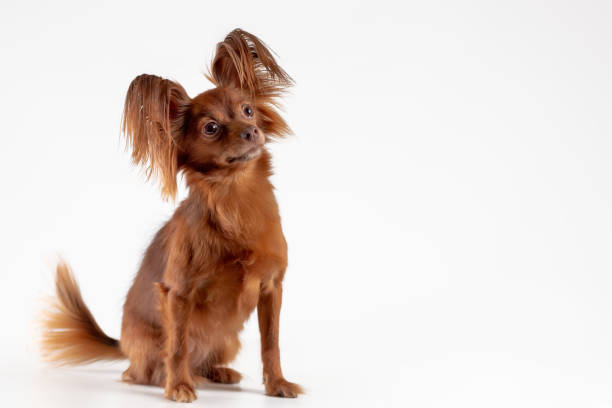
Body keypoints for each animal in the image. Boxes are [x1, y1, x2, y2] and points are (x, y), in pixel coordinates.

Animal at [39, 27, 302, 402]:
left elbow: (272, 343)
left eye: (248, 110)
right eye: (211, 128)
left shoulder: (271, 289)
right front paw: (178, 386)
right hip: (149, 343)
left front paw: (278, 383)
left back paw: (218, 372)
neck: (236, 199)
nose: (252, 131)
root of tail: (123, 345)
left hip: (228, 340)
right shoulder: (179, 294)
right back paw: (174, 377)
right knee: (142, 370)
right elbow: (177, 346)